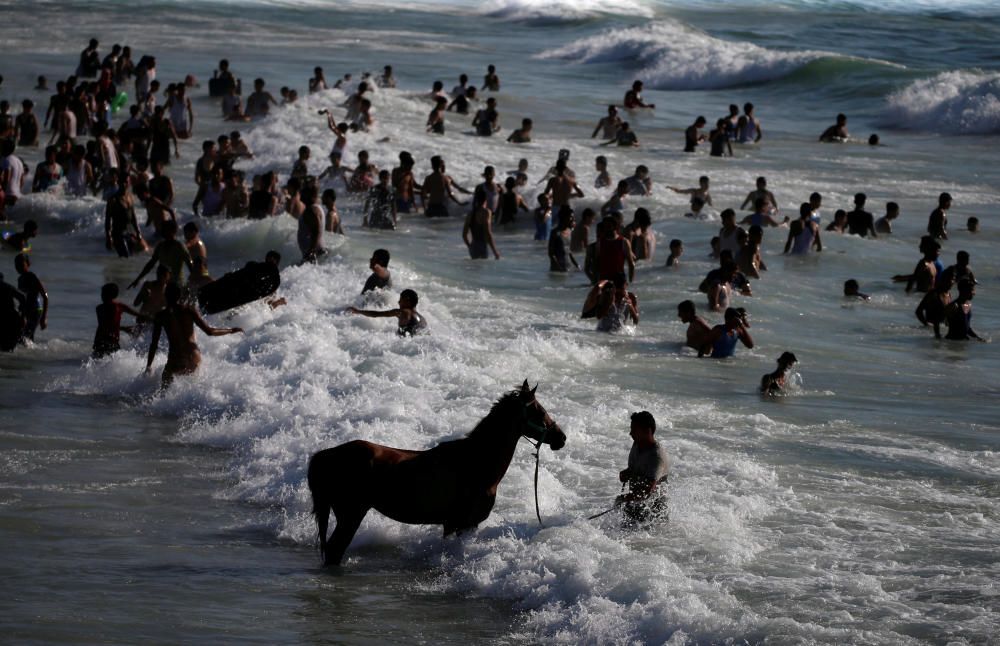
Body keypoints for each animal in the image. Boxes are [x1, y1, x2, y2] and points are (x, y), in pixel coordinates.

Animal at [306, 384, 564, 568]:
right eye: (539, 411)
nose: (561, 438)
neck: (476, 462)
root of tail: (328, 454)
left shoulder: (455, 525)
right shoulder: (463, 524)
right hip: (351, 515)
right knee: (334, 550)